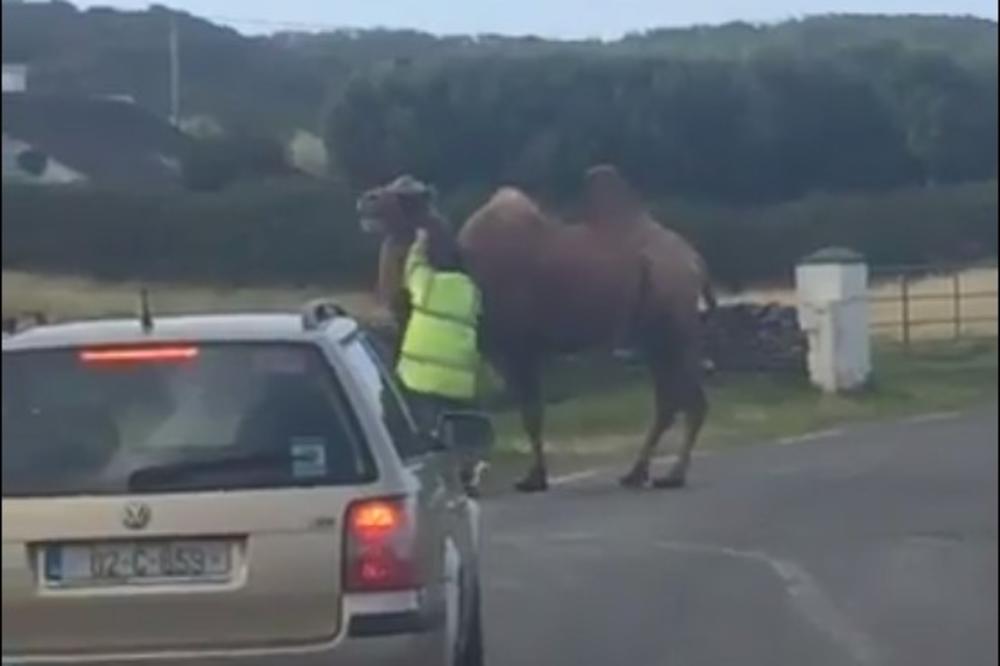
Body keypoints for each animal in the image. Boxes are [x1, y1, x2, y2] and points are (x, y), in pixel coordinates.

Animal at [356, 166, 716, 488]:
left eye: (405, 198)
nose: (366, 199)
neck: (464, 267)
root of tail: (696, 261)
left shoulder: (517, 348)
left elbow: (530, 413)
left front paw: (533, 478)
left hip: (674, 328)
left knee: (690, 401)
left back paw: (672, 475)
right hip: (654, 338)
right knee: (669, 401)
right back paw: (636, 474)